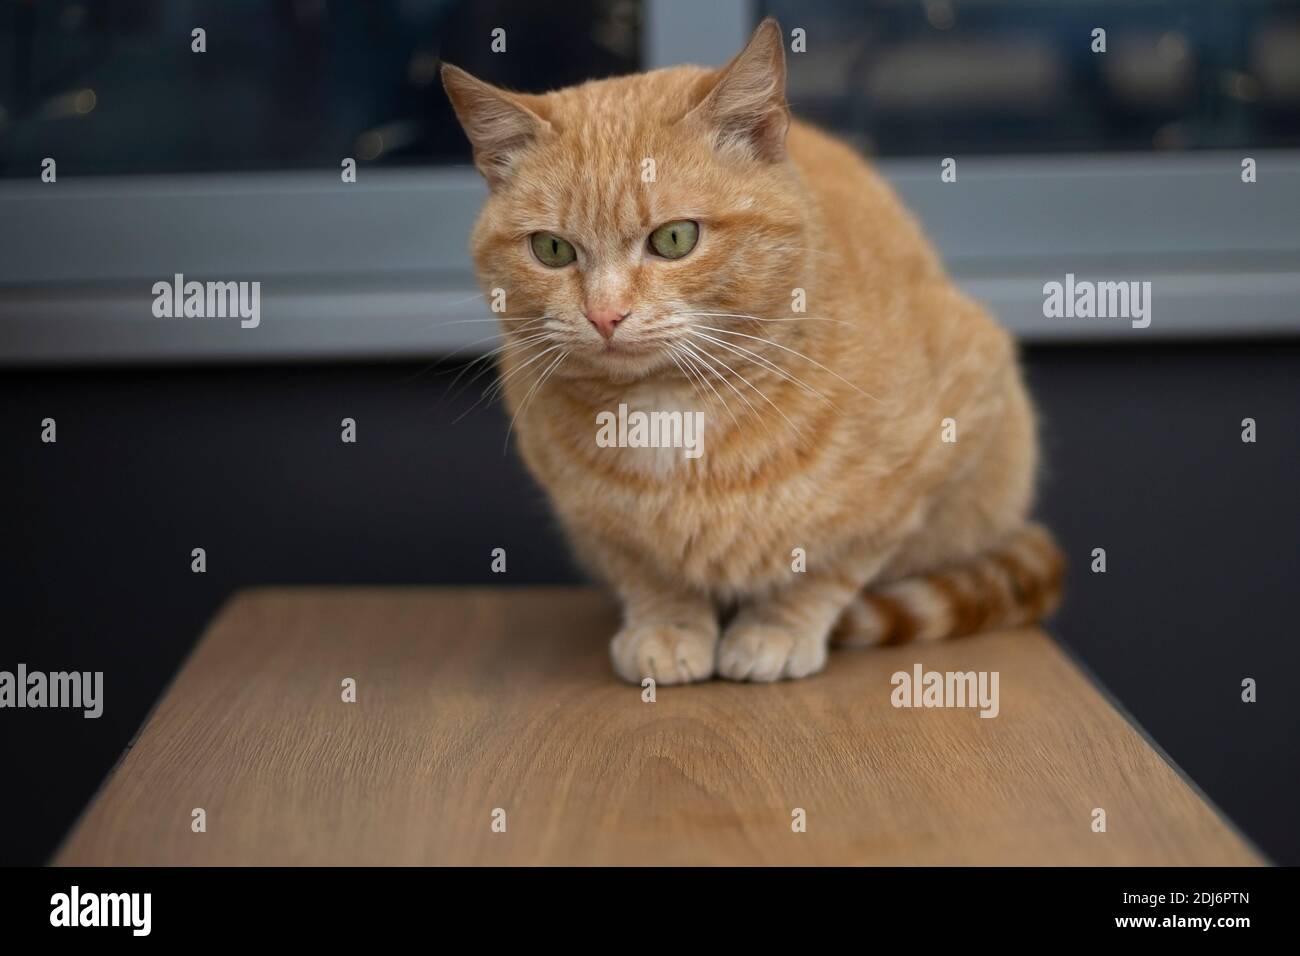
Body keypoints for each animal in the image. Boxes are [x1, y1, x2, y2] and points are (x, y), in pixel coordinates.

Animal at [441, 18, 1060, 686]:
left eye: (675, 238)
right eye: (552, 249)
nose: (605, 315)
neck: (667, 408)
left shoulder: (943, 439)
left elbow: (827, 567)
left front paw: (776, 629)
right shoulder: (587, 513)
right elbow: (646, 568)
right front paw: (667, 627)